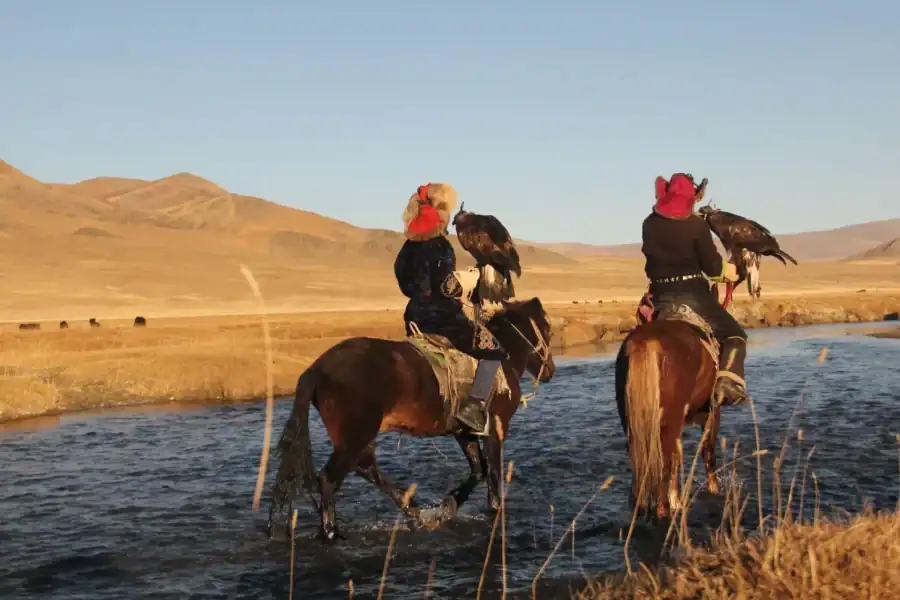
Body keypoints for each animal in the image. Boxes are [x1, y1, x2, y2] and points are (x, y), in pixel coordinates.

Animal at [267, 297, 556, 542]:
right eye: (547, 328)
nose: (550, 370)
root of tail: (316, 368)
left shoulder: (464, 431)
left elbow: (478, 470)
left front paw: (447, 506)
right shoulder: (496, 428)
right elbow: (493, 477)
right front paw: (493, 511)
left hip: (361, 435)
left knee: (366, 467)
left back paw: (414, 510)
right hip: (356, 435)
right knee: (330, 479)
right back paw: (332, 533)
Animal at [622, 288, 729, 519]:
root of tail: (647, 341)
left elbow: (677, 457)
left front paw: (677, 501)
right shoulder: (711, 413)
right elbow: (708, 453)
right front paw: (714, 491)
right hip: (671, 421)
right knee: (662, 465)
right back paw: (662, 511)